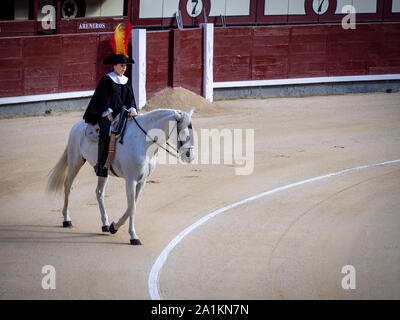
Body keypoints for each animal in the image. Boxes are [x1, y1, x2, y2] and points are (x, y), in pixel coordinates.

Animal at [47, 107, 195, 245]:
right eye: (181, 130)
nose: (190, 156)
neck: (143, 142)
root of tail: (77, 126)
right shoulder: (131, 180)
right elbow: (132, 207)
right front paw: (133, 236)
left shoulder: (142, 180)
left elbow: (132, 205)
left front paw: (114, 226)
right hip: (75, 162)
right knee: (68, 186)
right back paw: (66, 219)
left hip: (102, 171)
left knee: (99, 192)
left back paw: (105, 224)